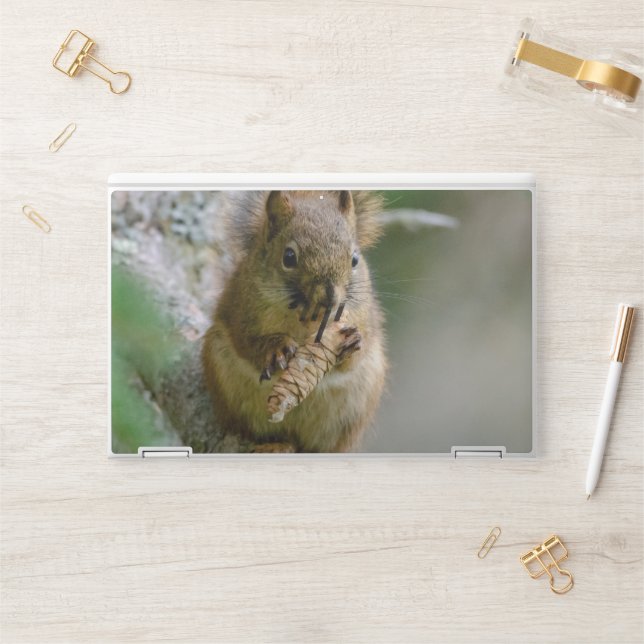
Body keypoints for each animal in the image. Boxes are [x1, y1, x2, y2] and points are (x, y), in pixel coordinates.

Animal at [202, 190, 387, 453]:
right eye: (288, 257)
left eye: (354, 259)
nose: (330, 297)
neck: (307, 319)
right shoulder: (242, 312)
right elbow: (247, 342)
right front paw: (275, 349)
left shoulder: (364, 317)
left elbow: (355, 357)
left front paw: (352, 341)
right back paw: (273, 445)